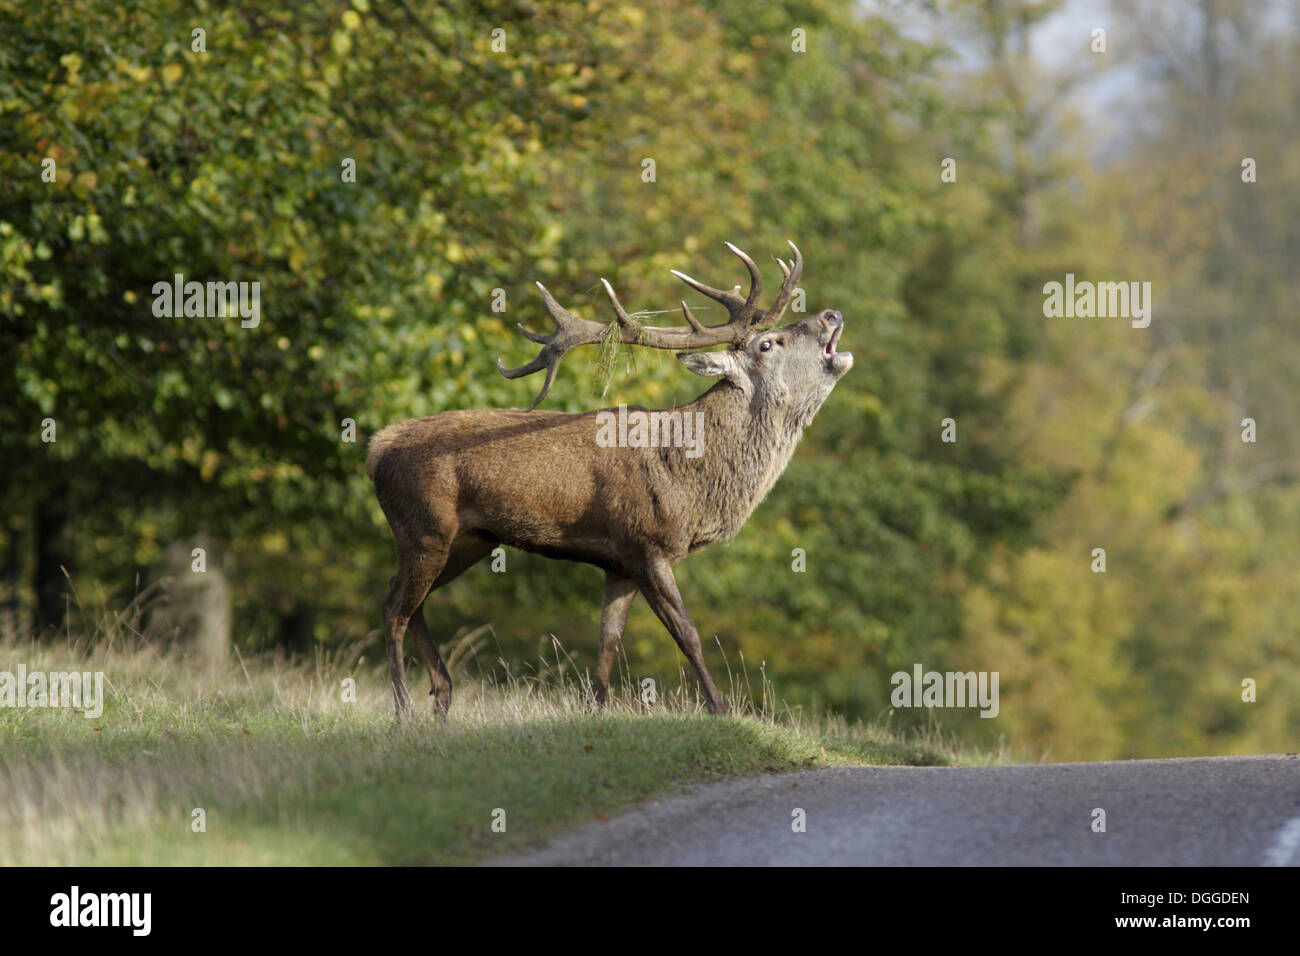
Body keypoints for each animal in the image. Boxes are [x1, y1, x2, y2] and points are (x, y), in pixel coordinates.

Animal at [366, 241, 852, 718]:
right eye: (769, 344)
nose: (832, 314)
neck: (692, 481)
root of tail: (376, 449)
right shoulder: (645, 544)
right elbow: (687, 633)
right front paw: (720, 710)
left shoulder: (618, 564)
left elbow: (609, 644)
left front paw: (595, 710)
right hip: (423, 527)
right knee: (393, 607)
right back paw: (405, 709)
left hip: (470, 539)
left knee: (407, 598)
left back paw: (443, 693)